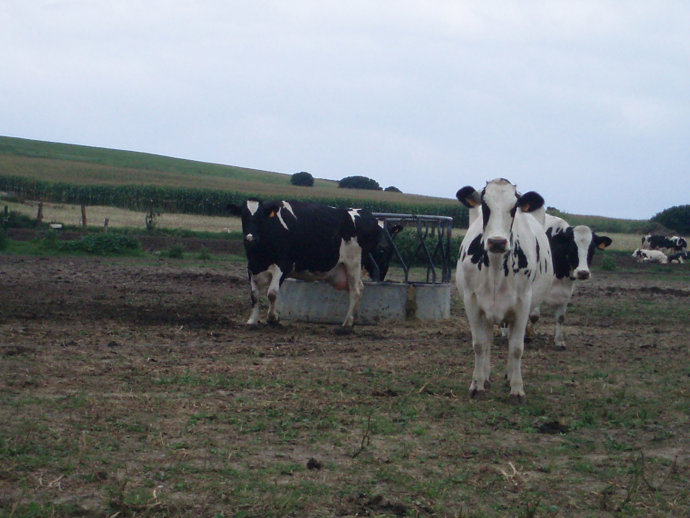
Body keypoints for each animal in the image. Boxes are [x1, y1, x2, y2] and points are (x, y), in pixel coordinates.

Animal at [228, 199, 398, 330]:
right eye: (243, 217)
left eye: (260, 218)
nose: (250, 238)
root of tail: (365, 214)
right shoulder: (252, 267)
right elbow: (254, 295)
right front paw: (252, 320)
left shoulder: (283, 264)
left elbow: (272, 293)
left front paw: (273, 318)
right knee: (359, 288)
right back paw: (353, 319)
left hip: (353, 262)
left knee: (355, 290)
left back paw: (346, 324)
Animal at [455, 179, 553, 401]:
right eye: (485, 206)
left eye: (514, 207)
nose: (497, 242)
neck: (495, 267)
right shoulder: (472, 303)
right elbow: (479, 345)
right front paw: (477, 385)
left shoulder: (523, 304)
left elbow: (516, 348)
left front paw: (517, 388)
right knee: (487, 342)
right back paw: (485, 377)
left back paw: (508, 377)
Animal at [537, 214, 612, 349]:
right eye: (572, 246)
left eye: (592, 248)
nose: (583, 272)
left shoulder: (565, 293)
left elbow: (561, 317)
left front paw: (559, 341)